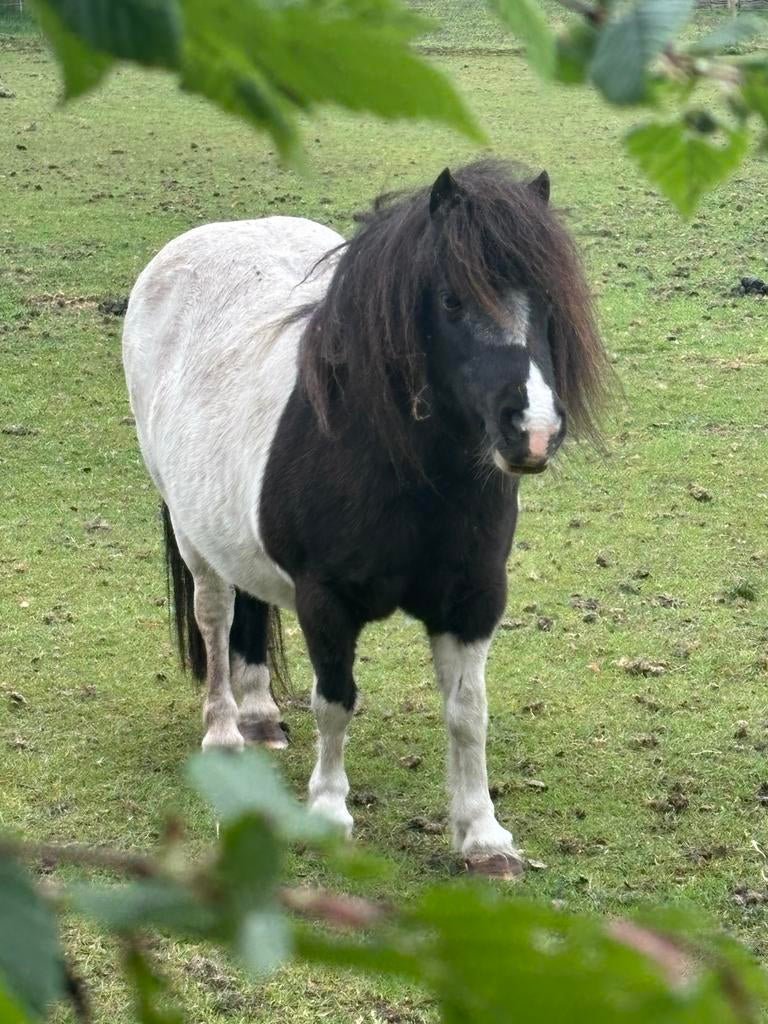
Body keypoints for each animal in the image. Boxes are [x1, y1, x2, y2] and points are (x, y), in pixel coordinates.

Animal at [122, 160, 609, 879]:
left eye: (547, 301)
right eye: (452, 302)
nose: (535, 430)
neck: (401, 464)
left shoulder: (474, 601)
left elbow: (468, 713)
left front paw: (483, 835)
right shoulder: (326, 600)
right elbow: (335, 701)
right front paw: (327, 814)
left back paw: (259, 715)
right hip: (193, 536)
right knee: (215, 616)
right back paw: (224, 732)